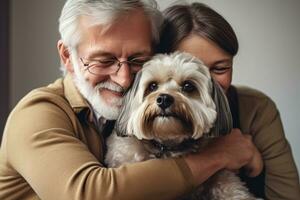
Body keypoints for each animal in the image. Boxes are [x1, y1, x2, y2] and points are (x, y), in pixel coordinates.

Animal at [105, 52, 258, 200]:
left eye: (188, 86)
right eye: (152, 86)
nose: (164, 99)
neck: (167, 146)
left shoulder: (222, 175)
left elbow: (233, 189)